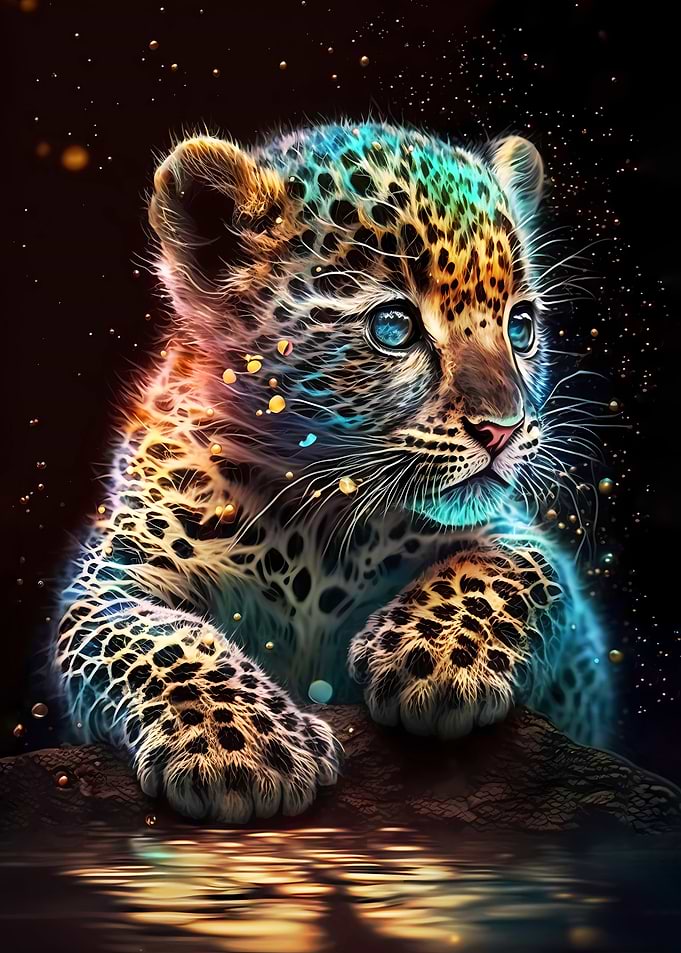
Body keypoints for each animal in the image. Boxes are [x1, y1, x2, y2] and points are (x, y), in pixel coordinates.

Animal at [54, 121, 614, 822]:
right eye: (393, 327)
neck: (315, 519)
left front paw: (434, 658)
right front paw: (241, 748)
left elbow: (514, 562)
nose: (505, 430)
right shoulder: (111, 577)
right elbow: (163, 641)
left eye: (522, 325)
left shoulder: (555, 604)